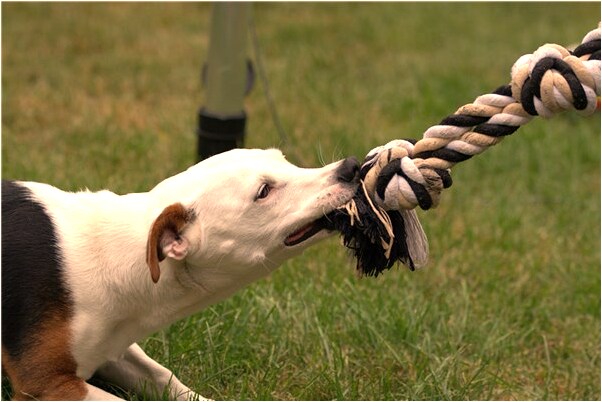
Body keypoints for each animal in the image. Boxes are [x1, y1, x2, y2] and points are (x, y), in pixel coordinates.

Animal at [2, 149, 358, 400]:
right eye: (264, 191)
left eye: (285, 160)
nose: (351, 167)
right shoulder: (44, 383)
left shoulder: (113, 348)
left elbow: (163, 376)